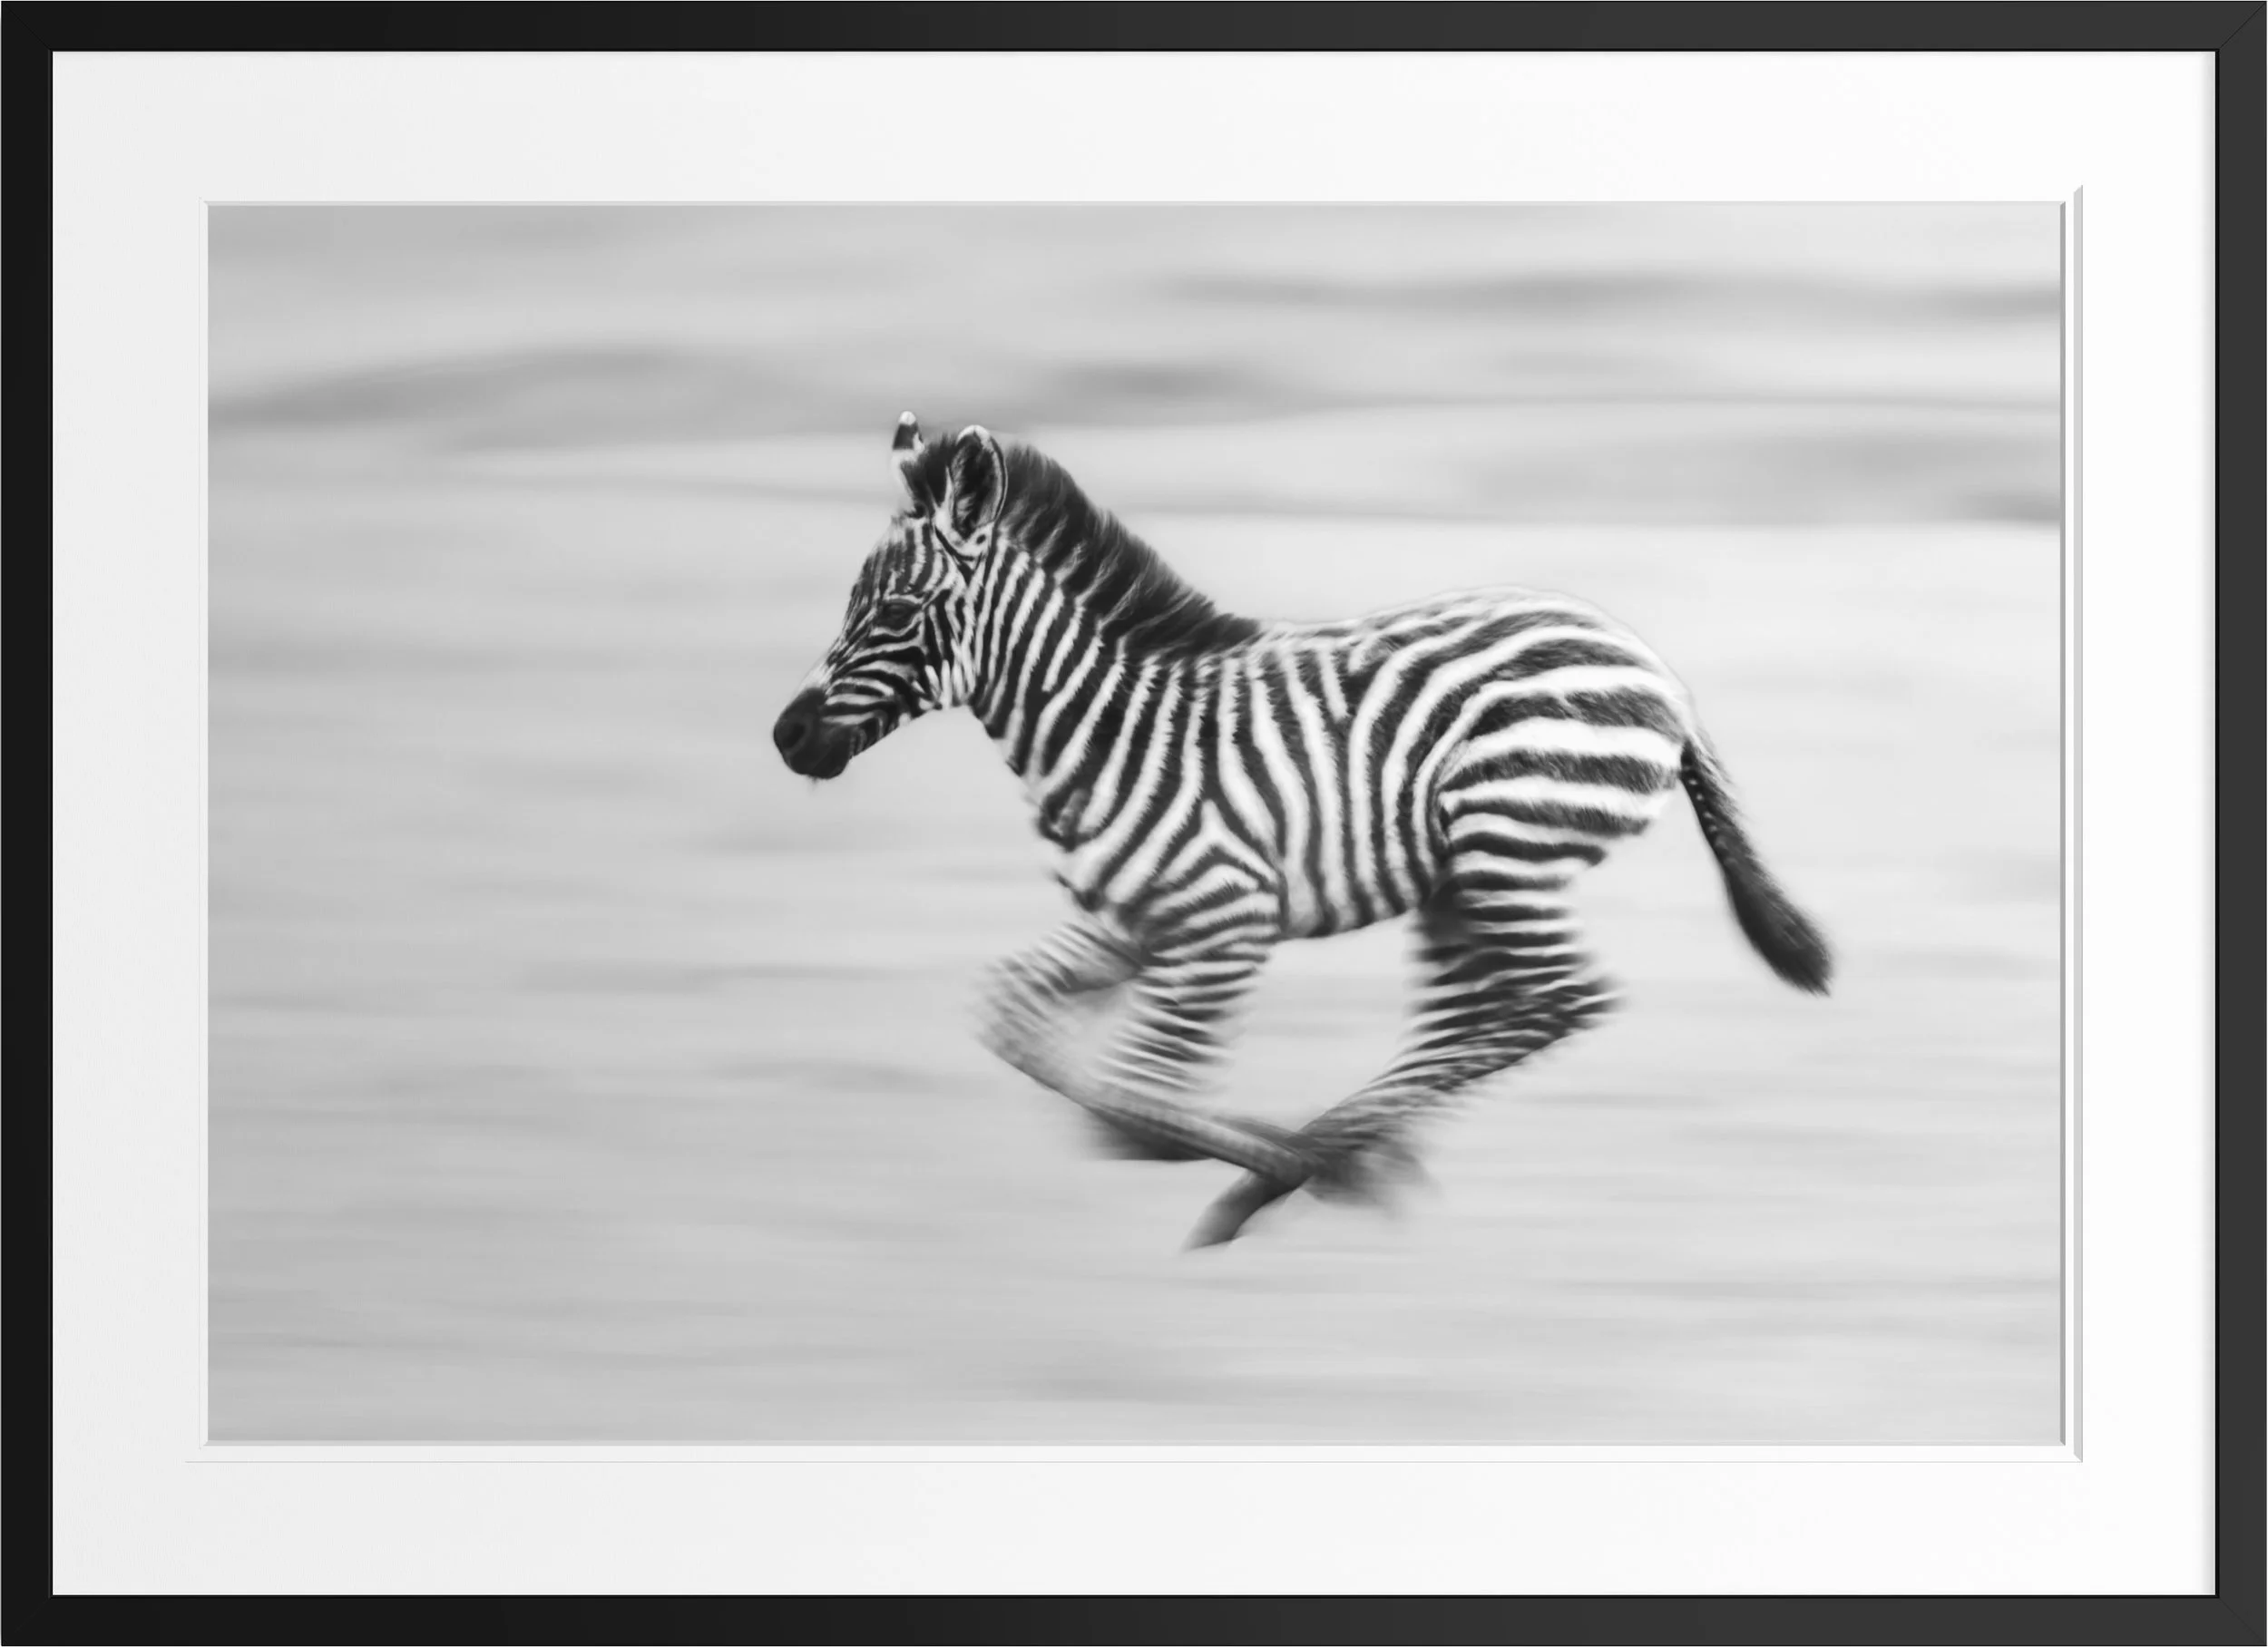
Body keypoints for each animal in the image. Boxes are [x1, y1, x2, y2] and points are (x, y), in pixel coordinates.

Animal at [772, 415, 1832, 1248]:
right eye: (857, 603)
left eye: (897, 610)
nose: (787, 738)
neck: (1108, 726)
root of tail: (1651, 667)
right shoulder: (1131, 924)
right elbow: (1019, 1029)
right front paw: (1292, 1160)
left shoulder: (1222, 923)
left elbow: (1136, 1112)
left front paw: (1276, 1162)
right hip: (1461, 877)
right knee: (1476, 1016)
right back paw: (1343, 1151)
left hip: (1504, 842)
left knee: (1553, 1002)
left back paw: (1312, 1163)